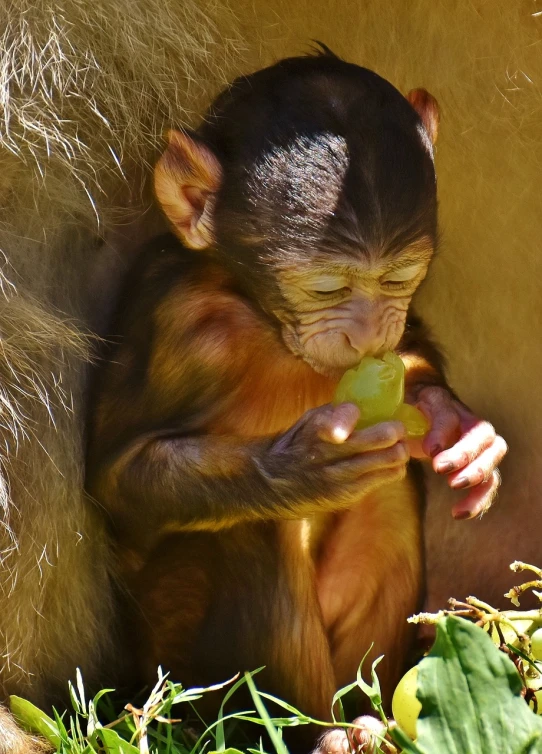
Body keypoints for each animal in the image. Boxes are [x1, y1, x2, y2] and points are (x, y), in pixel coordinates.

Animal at [87, 48, 508, 752]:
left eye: (400, 277)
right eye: (325, 288)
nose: (367, 332)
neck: (262, 319)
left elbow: (413, 350)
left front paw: (457, 430)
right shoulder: (177, 326)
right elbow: (115, 484)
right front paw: (296, 469)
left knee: (386, 499)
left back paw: (368, 720)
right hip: (173, 668)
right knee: (250, 532)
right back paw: (319, 733)